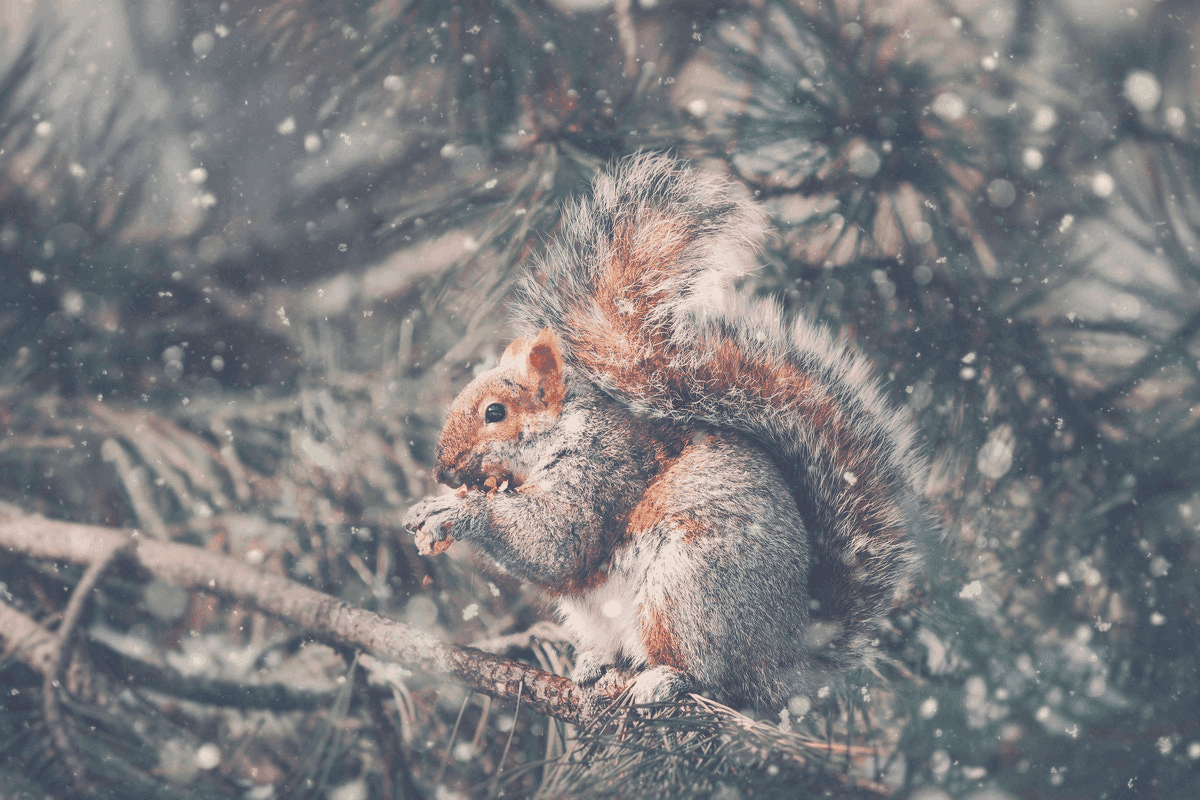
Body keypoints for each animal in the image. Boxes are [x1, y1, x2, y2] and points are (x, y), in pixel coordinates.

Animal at [402, 154, 933, 712]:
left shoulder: (600, 473)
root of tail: (789, 659)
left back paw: (665, 680)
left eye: (495, 412)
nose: (442, 470)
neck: (562, 433)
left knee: (712, 675)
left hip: (687, 589)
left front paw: (458, 512)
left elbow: (557, 542)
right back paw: (594, 664)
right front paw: (428, 507)